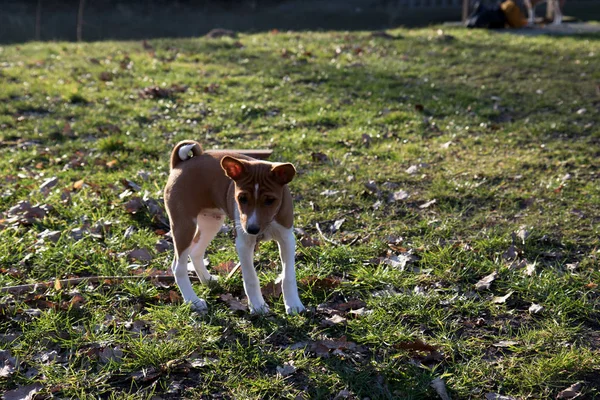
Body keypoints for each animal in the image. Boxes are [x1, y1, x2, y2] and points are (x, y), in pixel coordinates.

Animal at [163, 141, 304, 316]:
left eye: (270, 200)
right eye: (242, 198)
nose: (252, 229)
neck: (267, 224)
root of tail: (181, 163)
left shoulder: (287, 239)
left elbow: (288, 276)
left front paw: (293, 304)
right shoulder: (244, 243)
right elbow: (250, 278)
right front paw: (257, 306)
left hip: (211, 222)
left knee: (195, 251)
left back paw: (208, 280)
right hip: (184, 225)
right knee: (178, 267)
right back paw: (193, 301)